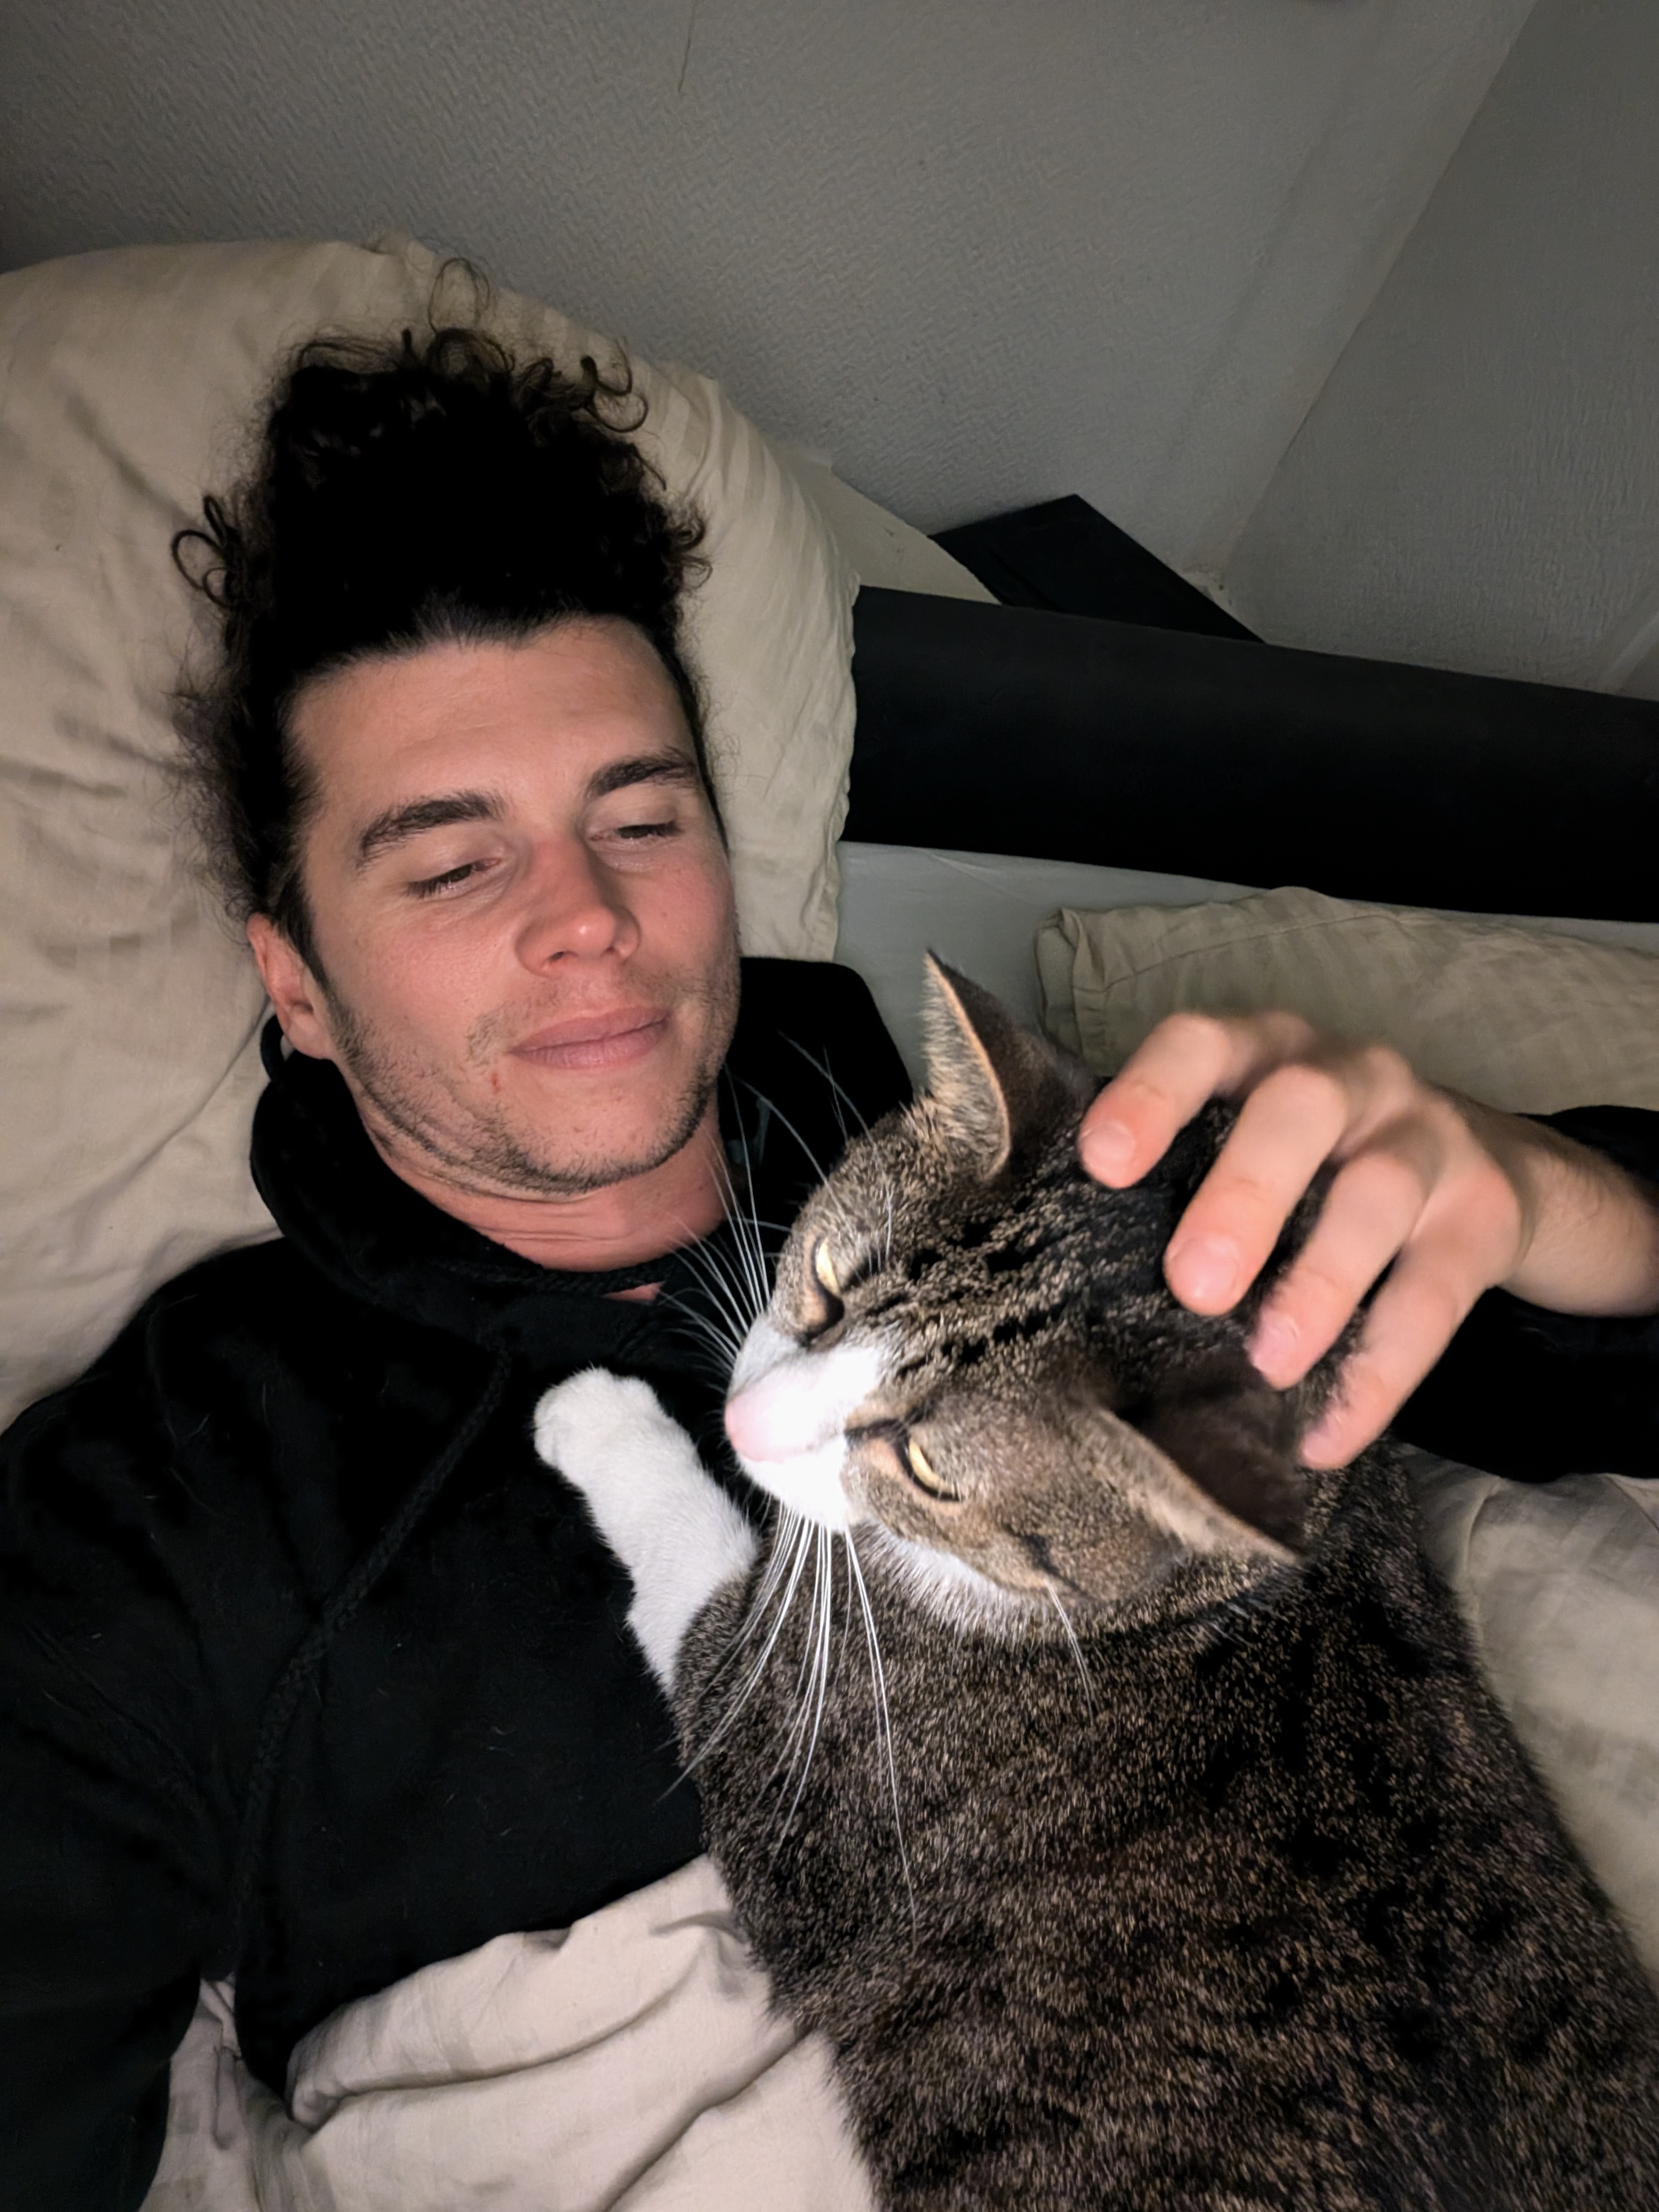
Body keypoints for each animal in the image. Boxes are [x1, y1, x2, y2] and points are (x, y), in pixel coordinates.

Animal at [535, 958, 1659, 2211]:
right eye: (822, 1282)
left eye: (929, 1467)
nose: (741, 1423)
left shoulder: (814, 1775)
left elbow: (709, 1604)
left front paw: (602, 1418)